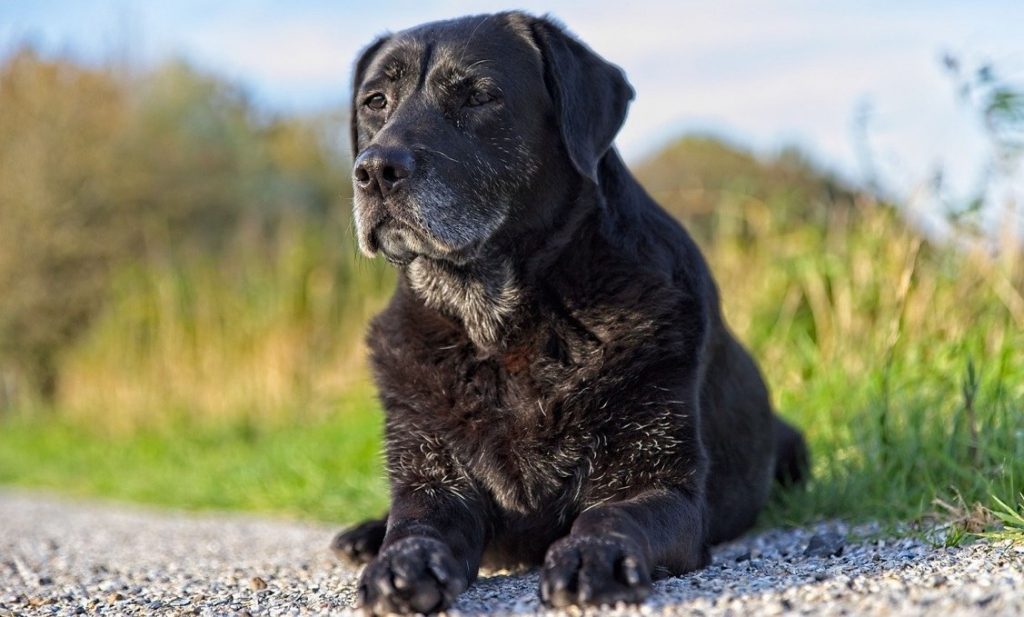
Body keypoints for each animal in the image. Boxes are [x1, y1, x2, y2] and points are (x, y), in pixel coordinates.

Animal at [333, 12, 806, 613]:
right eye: (375, 101)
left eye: (478, 96)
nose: (375, 169)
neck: (498, 326)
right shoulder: (431, 477)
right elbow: (415, 524)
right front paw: (398, 562)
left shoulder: (660, 484)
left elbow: (611, 514)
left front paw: (591, 556)